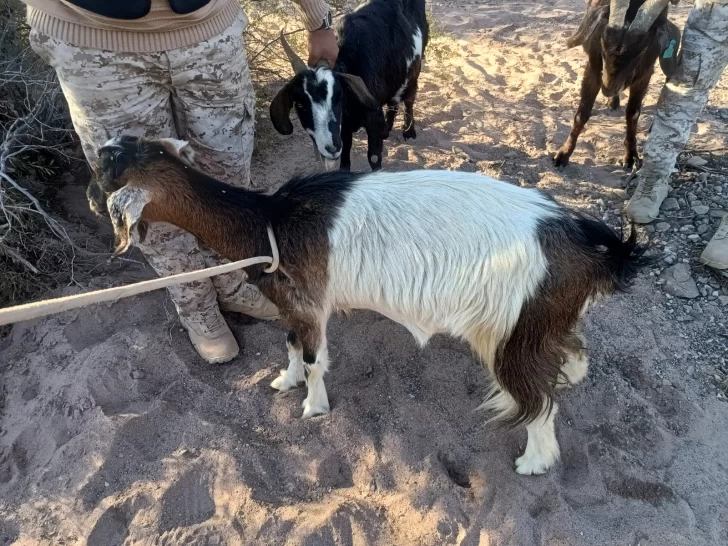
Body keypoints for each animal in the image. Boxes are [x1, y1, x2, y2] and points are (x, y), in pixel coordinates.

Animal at [96, 135, 648, 475]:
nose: (97, 161)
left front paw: (312, 407)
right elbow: (291, 346)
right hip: (545, 320)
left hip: (512, 333)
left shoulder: (309, 302)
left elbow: (314, 359)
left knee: (537, 402)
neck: (270, 222)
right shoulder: (293, 304)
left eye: (109, 167)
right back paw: (572, 375)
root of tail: (585, 243)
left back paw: (535, 462)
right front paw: (284, 382)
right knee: (571, 347)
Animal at [270, 0, 429, 172]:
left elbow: (374, 158)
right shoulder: (344, 128)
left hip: (414, 69)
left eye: (338, 97)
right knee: (393, 100)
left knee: (409, 98)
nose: (331, 148)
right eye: (299, 104)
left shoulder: (372, 118)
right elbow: (345, 160)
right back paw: (386, 129)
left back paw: (409, 131)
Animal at [553, 0, 682, 169]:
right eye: (602, 41)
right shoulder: (593, 67)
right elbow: (582, 114)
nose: (608, 88)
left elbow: (633, 114)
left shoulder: (645, 74)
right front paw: (563, 154)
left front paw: (631, 156)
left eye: (642, 50)